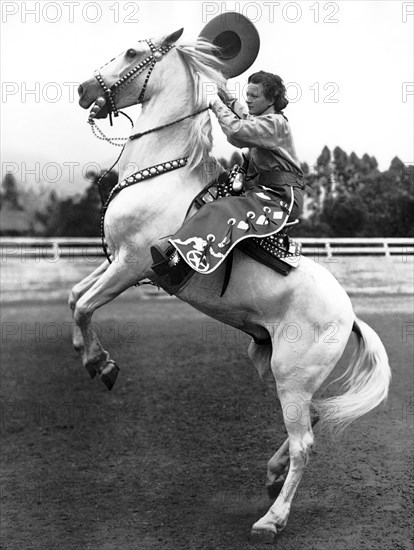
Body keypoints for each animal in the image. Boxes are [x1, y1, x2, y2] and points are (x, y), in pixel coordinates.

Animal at [73, 29, 392, 544]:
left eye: (133, 52)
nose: (84, 91)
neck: (165, 171)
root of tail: (349, 315)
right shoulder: (119, 260)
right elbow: (74, 297)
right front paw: (94, 359)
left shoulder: (133, 263)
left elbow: (84, 305)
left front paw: (100, 364)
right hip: (270, 364)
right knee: (313, 418)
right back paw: (272, 476)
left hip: (292, 373)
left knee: (305, 442)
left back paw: (272, 519)